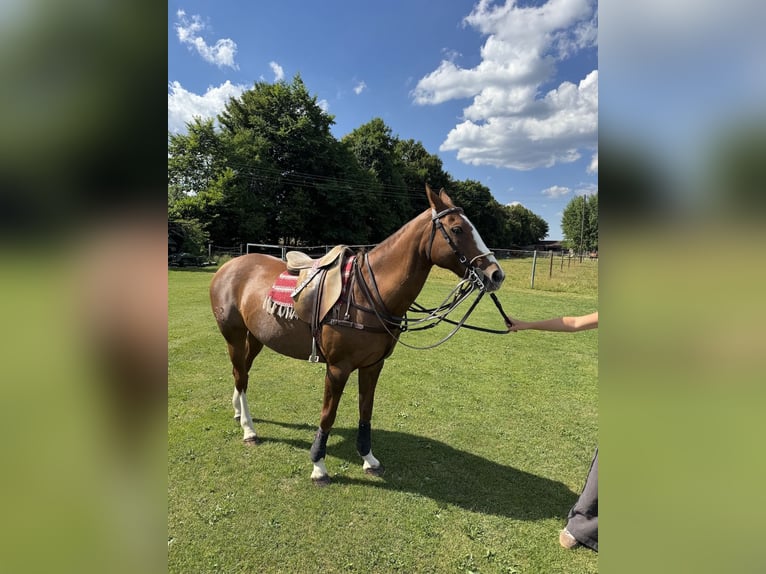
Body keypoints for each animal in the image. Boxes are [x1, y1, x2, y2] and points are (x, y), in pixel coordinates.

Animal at [209, 184, 506, 485]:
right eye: (457, 229)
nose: (496, 275)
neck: (369, 293)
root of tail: (228, 266)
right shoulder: (337, 368)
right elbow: (328, 415)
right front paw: (319, 467)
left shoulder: (373, 365)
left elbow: (366, 411)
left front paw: (368, 459)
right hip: (233, 335)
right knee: (240, 374)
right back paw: (249, 429)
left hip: (256, 336)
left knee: (242, 373)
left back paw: (238, 412)